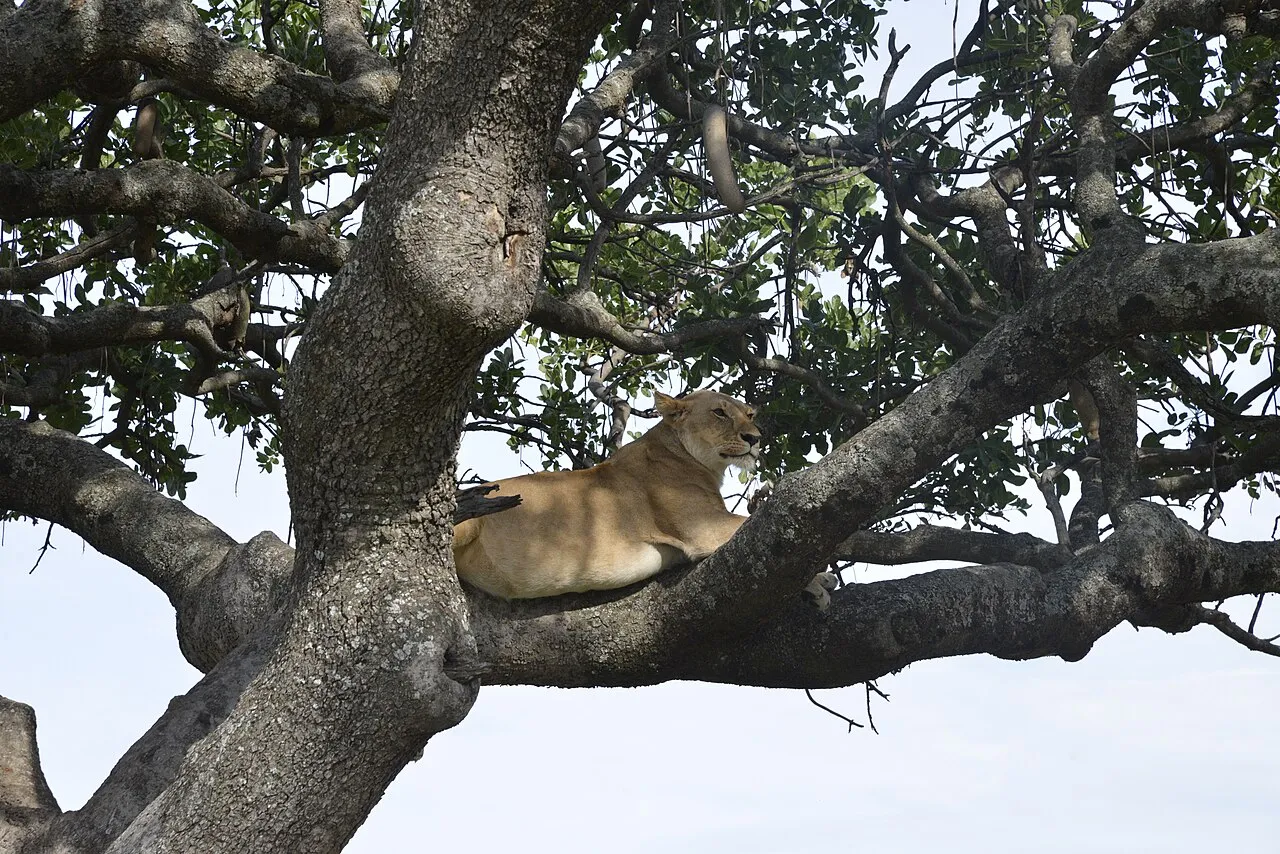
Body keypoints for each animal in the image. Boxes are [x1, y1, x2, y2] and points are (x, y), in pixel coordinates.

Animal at [453, 389, 837, 607]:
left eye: (750, 414)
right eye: (719, 412)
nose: (755, 438)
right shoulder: (703, 529)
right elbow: (757, 524)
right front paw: (819, 582)